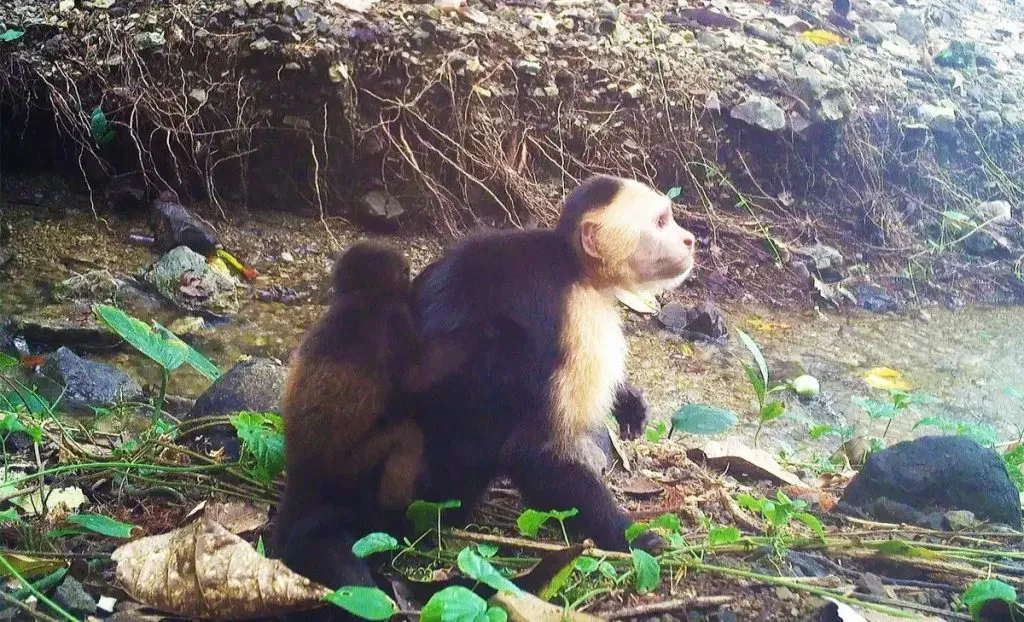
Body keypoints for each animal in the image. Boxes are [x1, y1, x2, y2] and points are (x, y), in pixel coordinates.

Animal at [272, 240, 489, 600]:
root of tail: (301, 469)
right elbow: (414, 377)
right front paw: (477, 336)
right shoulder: (395, 317)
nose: (412, 275)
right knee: (408, 437)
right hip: (349, 464)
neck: (361, 296)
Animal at [405, 174, 697, 553]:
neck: (577, 267)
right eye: (661, 222)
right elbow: (532, 452)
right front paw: (624, 534)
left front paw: (628, 400)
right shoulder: (579, 320)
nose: (690, 239)